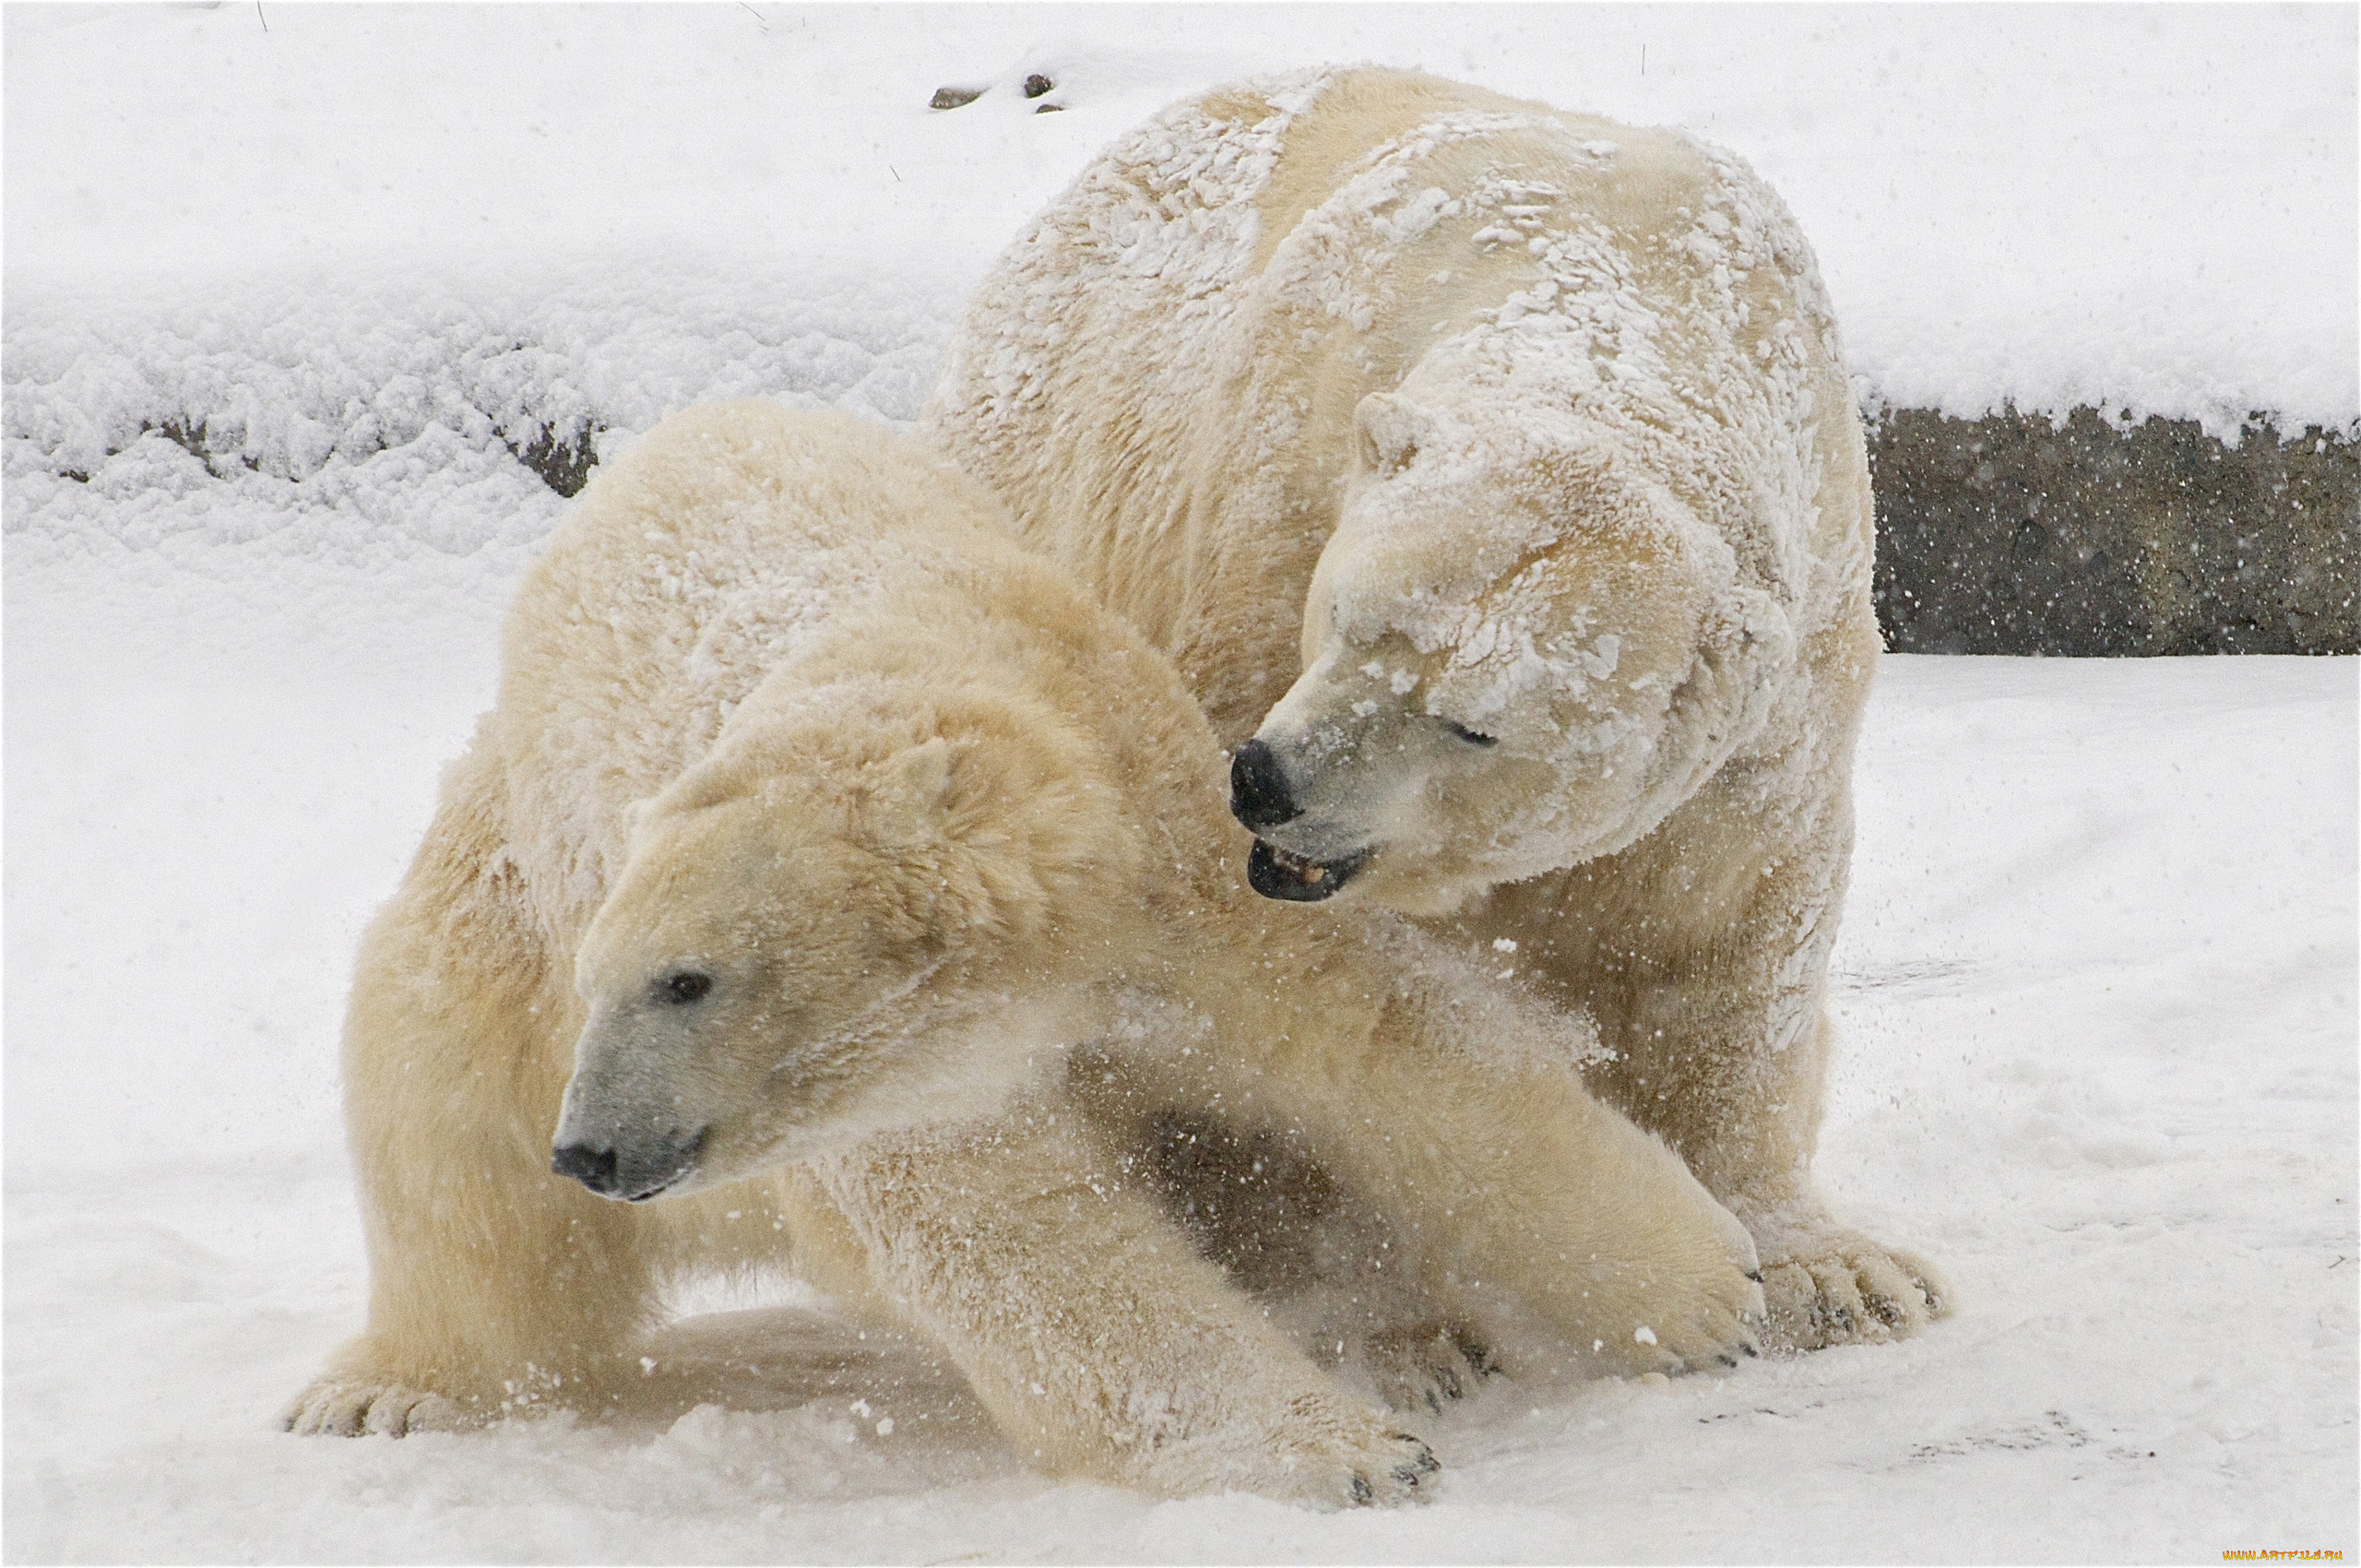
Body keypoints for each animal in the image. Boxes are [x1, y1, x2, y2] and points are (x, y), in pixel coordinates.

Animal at [285, 403, 1765, 1511]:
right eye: (626, 979)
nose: (591, 1148)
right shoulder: (909, 1078)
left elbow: (1382, 1046)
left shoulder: (1169, 857)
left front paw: (1708, 1291)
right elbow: (1024, 1243)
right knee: (444, 1132)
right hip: (495, 916)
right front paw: (1351, 1451)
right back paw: (383, 1385)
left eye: (685, 980)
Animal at [925, 70, 1954, 1350]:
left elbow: (1729, 928)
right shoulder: (1264, 522)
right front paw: (1387, 1326)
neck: (1611, 302)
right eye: (1348, 612)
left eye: (1473, 722)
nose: (1267, 780)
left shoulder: (1789, 659)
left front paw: (1837, 1272)